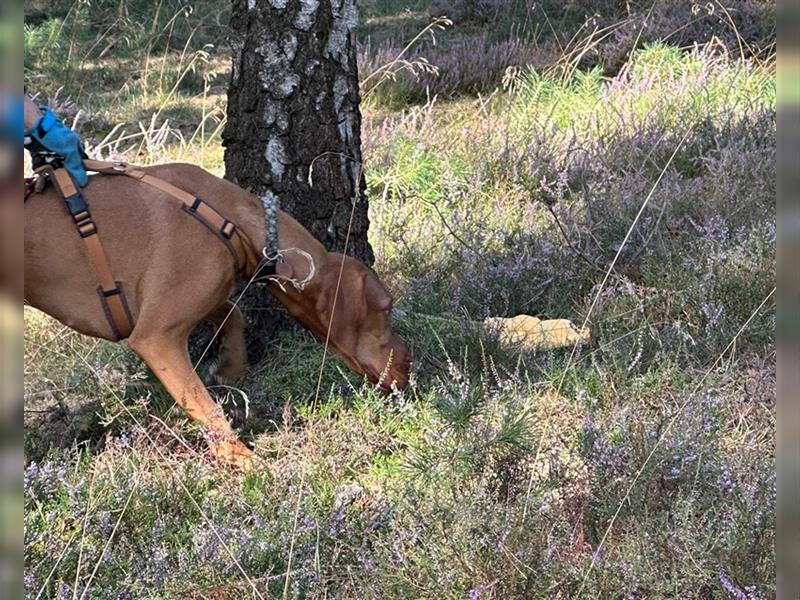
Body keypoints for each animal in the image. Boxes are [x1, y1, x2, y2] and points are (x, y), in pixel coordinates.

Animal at [25, 164, 412, 468]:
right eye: (386, 308)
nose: (410, 365)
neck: (234, 218)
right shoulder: (156, 336)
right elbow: (206, 407)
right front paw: (243, 459)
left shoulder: (203, 299)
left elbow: (234, 315)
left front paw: (229, 365)